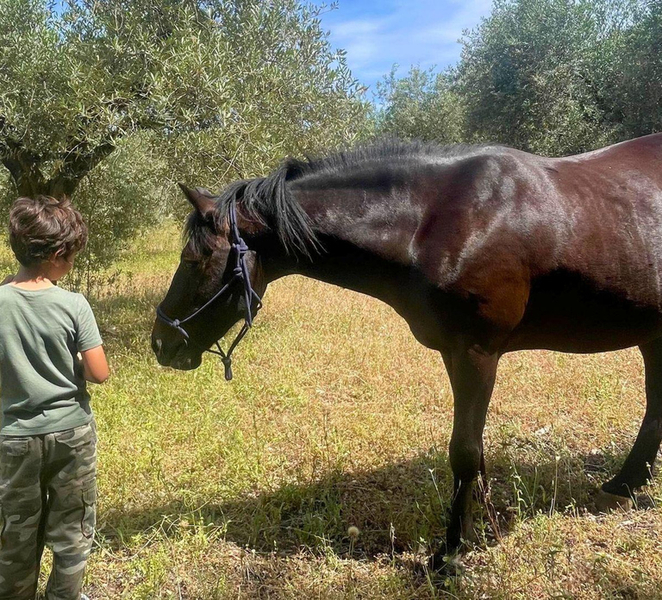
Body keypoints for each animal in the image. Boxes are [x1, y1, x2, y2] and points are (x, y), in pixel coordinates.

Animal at [151, 133, 662, 567]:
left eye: (194, 259)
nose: (161, 342)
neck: (439, 219)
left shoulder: (476, 354)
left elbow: (465, 452)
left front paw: (451, 553)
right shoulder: (457, 354)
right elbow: (471, 453)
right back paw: (622, 486)